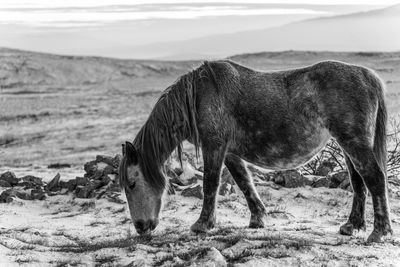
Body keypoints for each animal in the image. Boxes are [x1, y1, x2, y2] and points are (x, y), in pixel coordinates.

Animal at [118, 59, 390, 244]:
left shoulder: (214, 146)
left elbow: (210, 184)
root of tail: (368, 76)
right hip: (347, 145)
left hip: (353, 143)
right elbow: (244, 182)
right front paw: (258, 218)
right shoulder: (230, 152)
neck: (198, 97)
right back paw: (352, 226)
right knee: (358, 183)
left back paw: (379, 232)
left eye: (132, 183)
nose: (141, 227)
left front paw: (202, 224)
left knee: (375, 179)